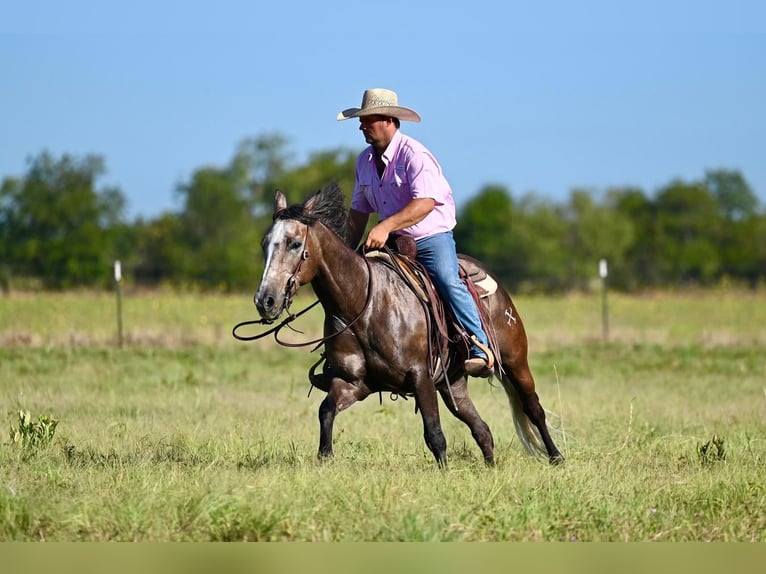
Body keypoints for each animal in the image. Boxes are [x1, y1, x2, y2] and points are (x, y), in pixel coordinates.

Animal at [249, 182, 568, 470]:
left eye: (294, 243)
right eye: (264, 243)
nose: (265, 300)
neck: (364, 303)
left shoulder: (421, 376)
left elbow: (435, 435)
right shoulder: (352, 383)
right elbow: (325, 411)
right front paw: (325, 459)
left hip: (515, 361)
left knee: (533, 408)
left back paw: (557, 458)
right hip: (454, 382)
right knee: (482, 429)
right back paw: (491, 468)